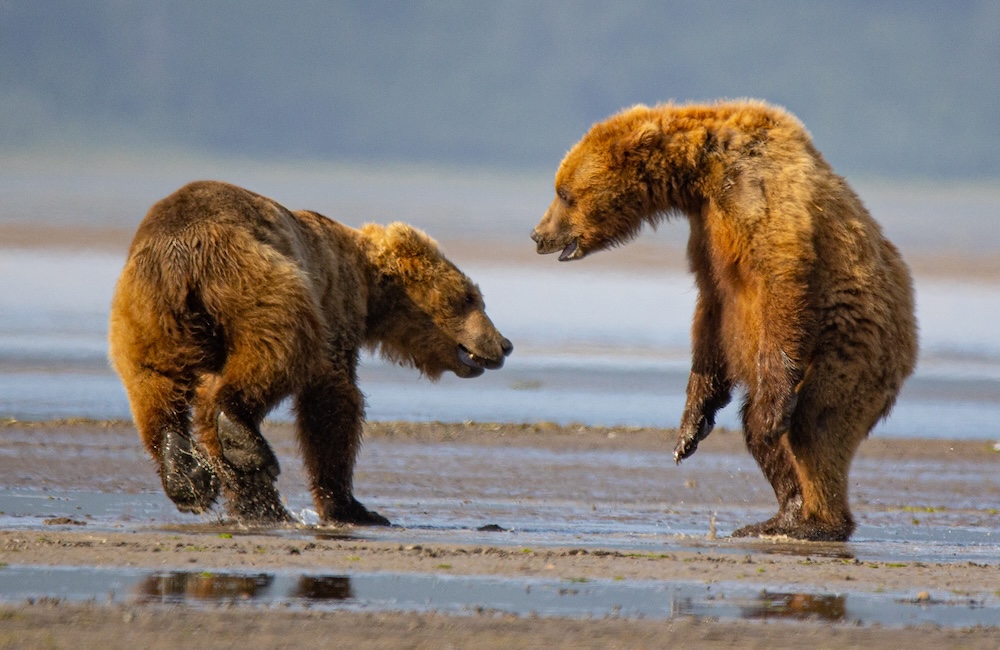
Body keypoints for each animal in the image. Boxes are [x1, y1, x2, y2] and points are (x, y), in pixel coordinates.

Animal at [109, 180, 513, 526]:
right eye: (470, 298)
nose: (504, 344)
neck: (369, 286)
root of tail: (177, 257)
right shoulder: (334, 303)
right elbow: (332, 399)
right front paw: (352, 507)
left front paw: (256, 504)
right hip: (253, 279)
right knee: (279, 350)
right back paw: (244, 437)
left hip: (146, 313)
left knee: (154, 383)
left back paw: (185, 473)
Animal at [532, 100, 917, 541]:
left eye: (564, 193)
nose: (538, 235)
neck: (704, 174)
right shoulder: (706, 229)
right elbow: (711, 307)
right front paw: (688, 431)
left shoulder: (761, 195)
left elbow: (780, 276)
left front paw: (770, 415)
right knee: (759, 430)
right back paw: (780, 515)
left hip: (852, 347)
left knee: (814, 426)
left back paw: (818, 523)